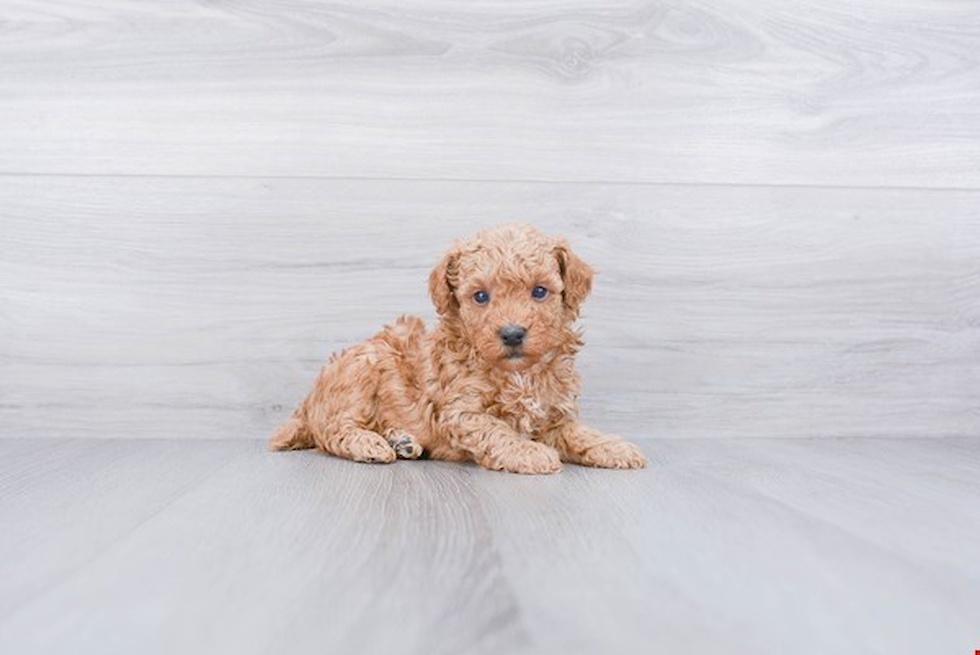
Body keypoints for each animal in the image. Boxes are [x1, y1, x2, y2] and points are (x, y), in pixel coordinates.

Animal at [272, 223, 648, 474]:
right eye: (480, 296)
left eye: (539, 292)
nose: (512, 334)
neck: (519, 374)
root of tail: (308, 401)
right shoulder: (462, 411)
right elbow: (497, 430)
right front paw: (529, 452)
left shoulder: (553, 416)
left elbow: (579, 433)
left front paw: (613, 446)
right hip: (360, 372)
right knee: (333, 431)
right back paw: (372, 444)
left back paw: (402, 442)